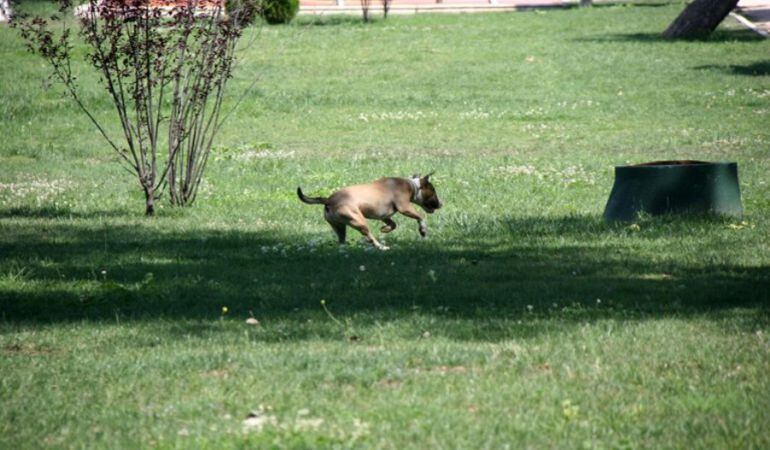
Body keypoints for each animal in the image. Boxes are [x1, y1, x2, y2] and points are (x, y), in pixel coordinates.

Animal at [296, 173, 440, 250]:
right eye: (433, 191)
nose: (440, 204)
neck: (412, 185)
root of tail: (328, 200)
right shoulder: (404, 208)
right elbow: (421, 216)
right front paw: (423, 230)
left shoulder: (384, 216)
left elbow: (393, 224)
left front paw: (385, 229)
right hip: (359, 220)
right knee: (369, 237)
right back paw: (381, 247)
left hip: (339, 226)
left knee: (341, 240)